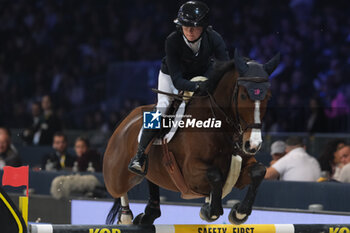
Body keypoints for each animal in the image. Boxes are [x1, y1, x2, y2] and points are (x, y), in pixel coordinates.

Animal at [102, 50, 278, 225]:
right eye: (243, 96)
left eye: (268, 96)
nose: (253, 144)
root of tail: (125, 122)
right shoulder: (191, 173)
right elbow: (215, 176)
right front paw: (209, 211)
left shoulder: (242, 166)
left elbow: (259, 171)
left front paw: (239, 213)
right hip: (116, 177)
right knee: (118, 191)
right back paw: (126, 214)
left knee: (151, 184)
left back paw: (147, 215)